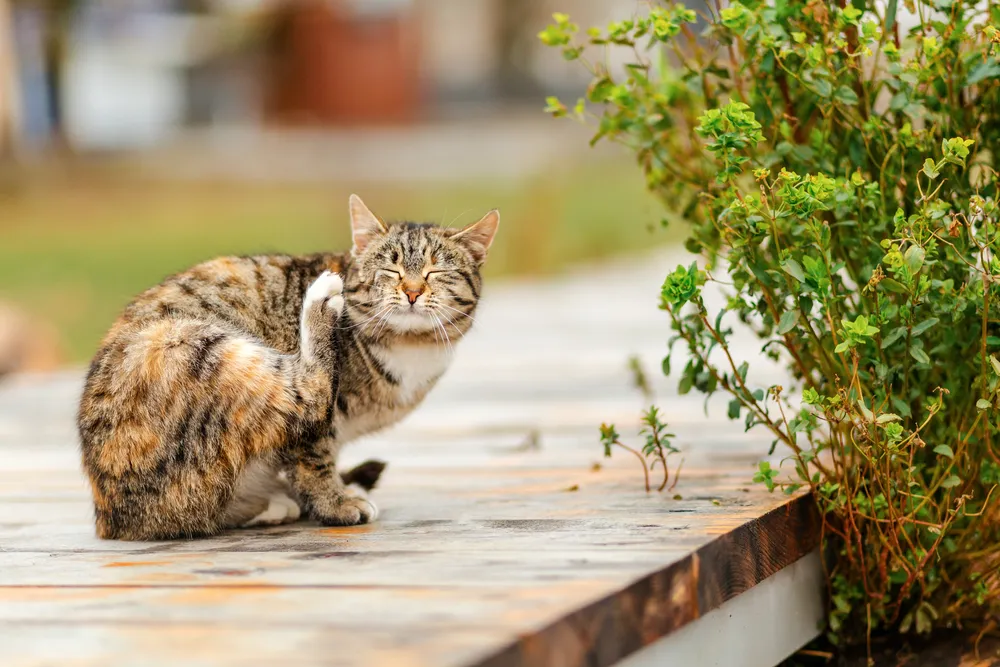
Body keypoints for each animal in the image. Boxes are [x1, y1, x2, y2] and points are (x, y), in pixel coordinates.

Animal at [78, 196, 500, 540]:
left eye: (435, 272)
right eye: (391, 271)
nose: (412, 291)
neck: (410, 346)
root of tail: (111, 519)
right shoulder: (315, 433)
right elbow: (313, 458)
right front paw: (336, 503)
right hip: (192, 346)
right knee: (308, 390)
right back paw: (318, 303)